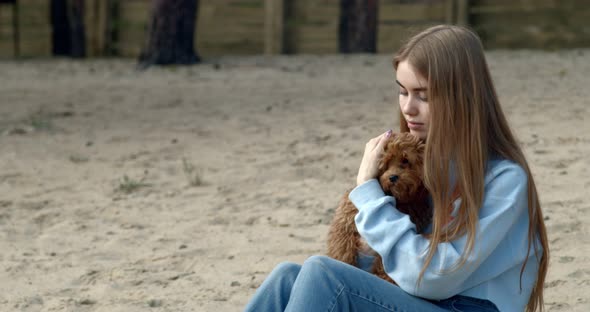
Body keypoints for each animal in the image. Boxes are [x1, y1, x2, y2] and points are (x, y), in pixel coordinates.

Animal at [326, 133, 432, 284]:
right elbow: (341, 248)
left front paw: (383, 277)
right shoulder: (344, 223)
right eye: (385, 164)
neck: (397, 199)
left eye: (406, 160)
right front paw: (343, 262)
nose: (392, 177)